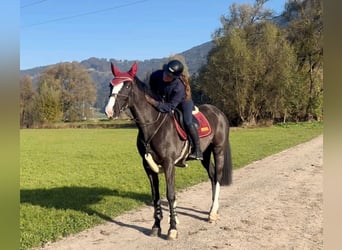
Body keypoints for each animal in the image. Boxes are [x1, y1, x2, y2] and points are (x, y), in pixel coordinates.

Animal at [104, 61, 232, 239]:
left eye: (127, 85)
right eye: (111, 85)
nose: (109, 111)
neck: (153, 126)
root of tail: (219, 112)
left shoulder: (169, 164)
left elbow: (170, 195)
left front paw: (172, 228)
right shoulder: (148, 167)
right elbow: (156, 196)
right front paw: (156, 226)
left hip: (218, 150)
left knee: (218, 177)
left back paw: (213, 213)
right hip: (205, 155)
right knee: (212, 176)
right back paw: (214, 209)